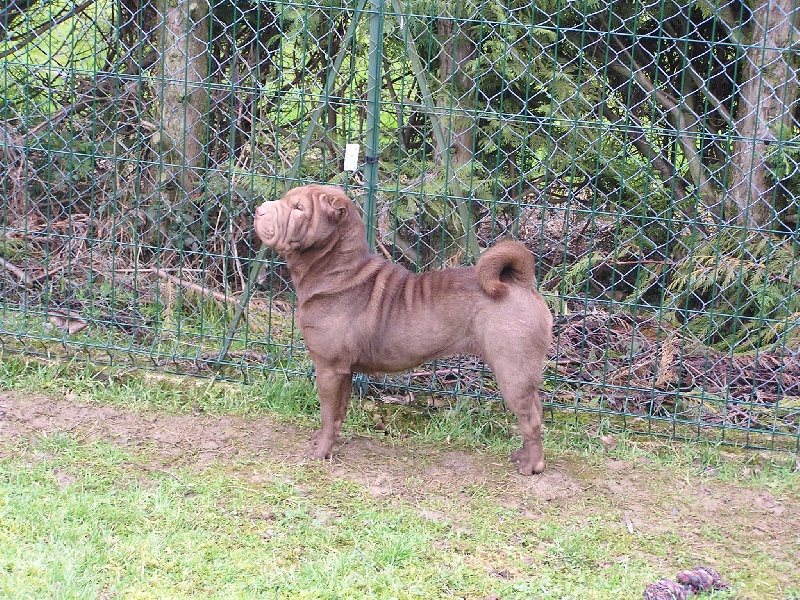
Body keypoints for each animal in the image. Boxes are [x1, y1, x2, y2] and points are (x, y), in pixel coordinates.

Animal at [253, 183, 552, 474]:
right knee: (535, 409)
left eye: (298, 208)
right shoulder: (344, 370)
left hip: (511, 368)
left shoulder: (329, 366)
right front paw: (324, 441)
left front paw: (320, 452)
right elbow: (338, 412)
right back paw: (522, 456)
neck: (337, 271)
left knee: (530, 418)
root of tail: (521, 282)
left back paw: (531, 465)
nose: (258, 210)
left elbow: (327, 412)